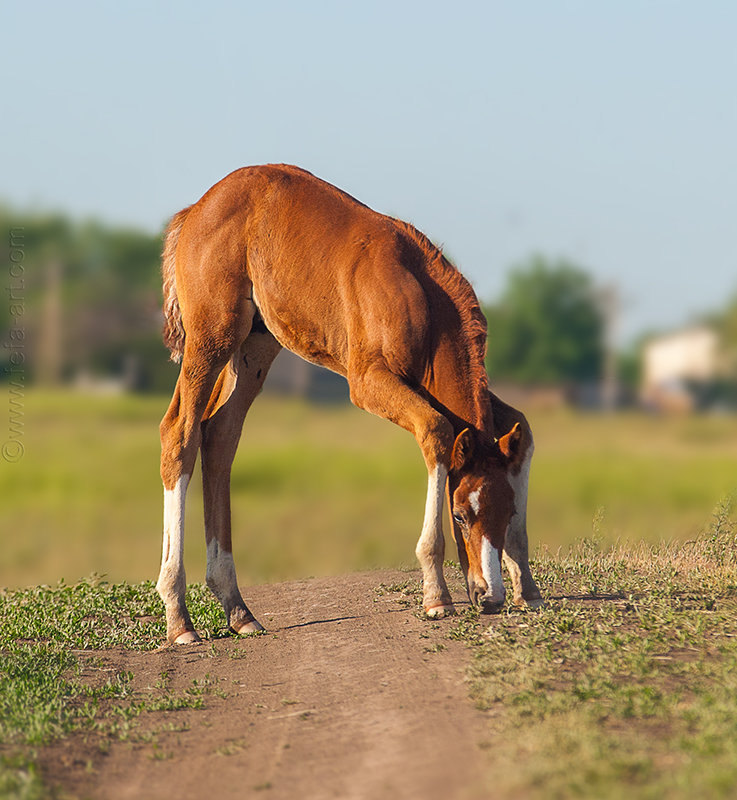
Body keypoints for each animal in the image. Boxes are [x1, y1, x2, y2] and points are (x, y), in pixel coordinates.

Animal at [155, 162, 540, 644]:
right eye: (460, 515)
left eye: (508, 512)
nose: (489, 596)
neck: (423, 299)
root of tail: (194, 211)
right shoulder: (367, 380)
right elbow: (437, 430)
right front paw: (437, 595)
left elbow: (521, 427)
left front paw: (528, 586)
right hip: (213, 335)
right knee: (181, 432)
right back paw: (179, 618)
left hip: (256, 345)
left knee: (220, 436)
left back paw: (239, 610)